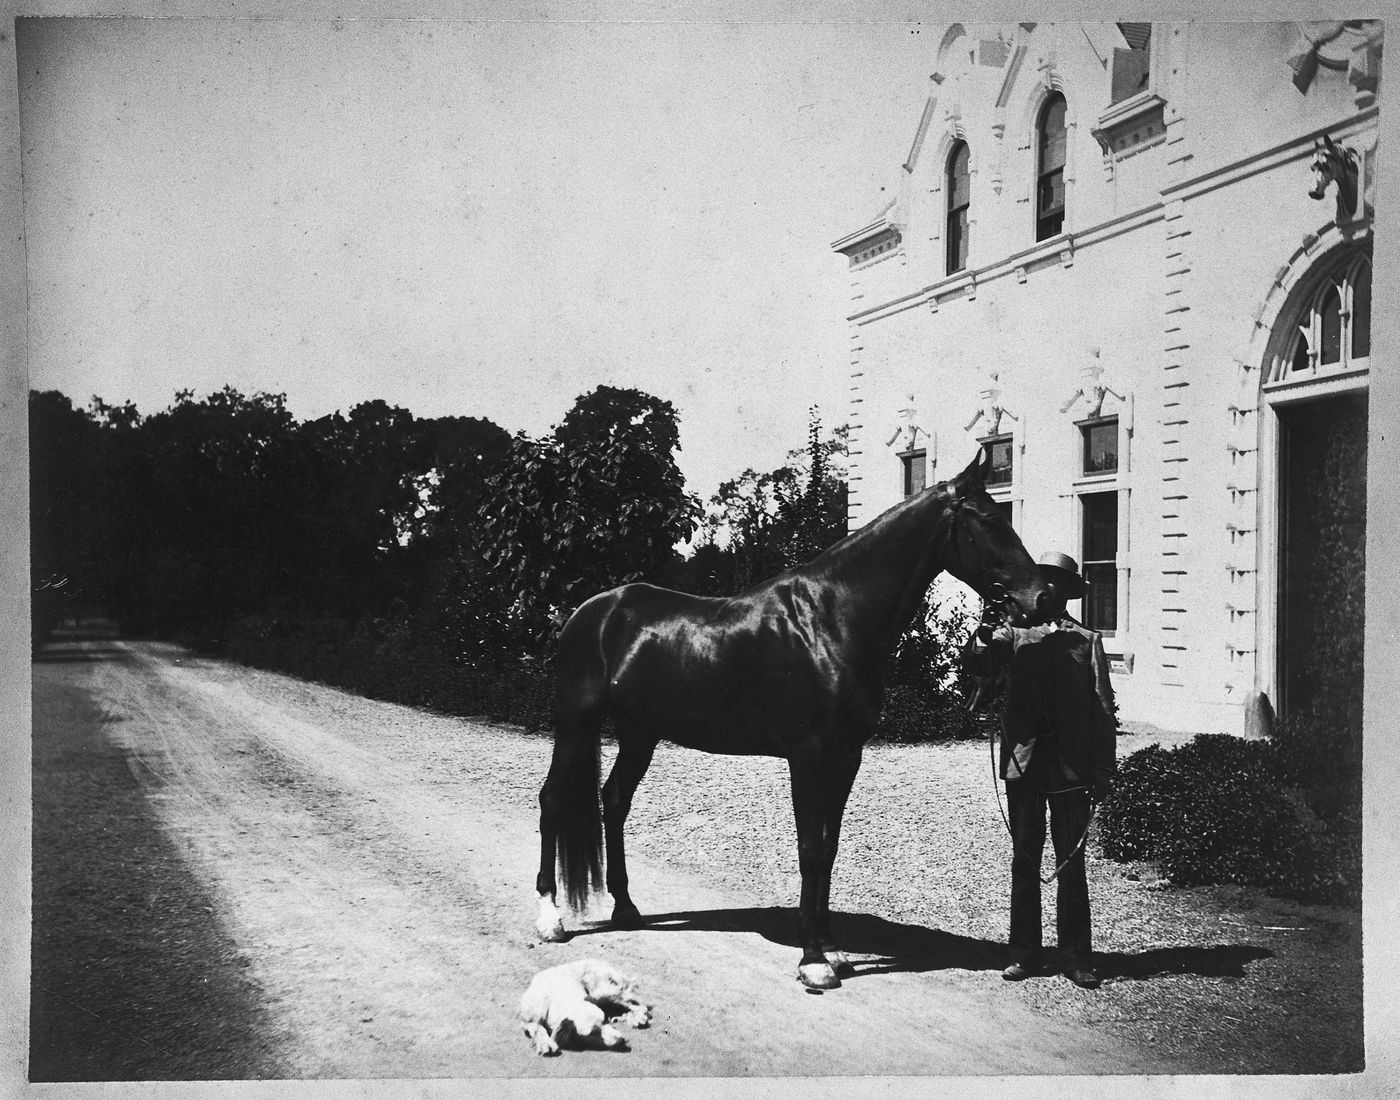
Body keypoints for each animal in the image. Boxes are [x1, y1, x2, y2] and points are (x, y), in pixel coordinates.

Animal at [520, 951, 655, 1052]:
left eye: (603, 1022)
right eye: (593, 1033)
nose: (622, 1040)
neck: (556, 996)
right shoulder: (529, 1018)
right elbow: (537, 1028)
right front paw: (544, 1042)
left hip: (599, 991)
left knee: (636, 1005)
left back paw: (637, 1017)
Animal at [534, 445, 1052, 985]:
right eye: (990, 520)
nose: (1042, 597)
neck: (830, 620)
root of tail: (590, 610)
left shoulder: (847, 755)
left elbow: (828, 847)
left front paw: (830, 947)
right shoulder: (806, 754)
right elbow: (808, 847)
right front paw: (812, 960)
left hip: (640, 733)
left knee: (614, 801)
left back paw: (626, 908)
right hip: (575, 722)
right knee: (553, 800)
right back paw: (551, 919)